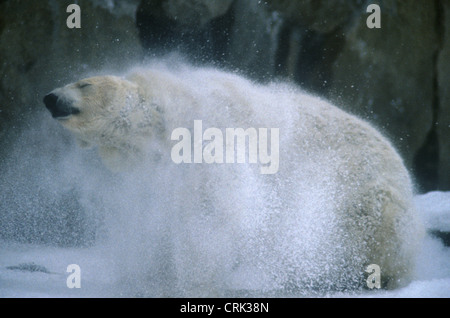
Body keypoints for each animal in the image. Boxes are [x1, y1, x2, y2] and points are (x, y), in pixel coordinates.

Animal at [44, 62, 424, 296]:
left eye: (84, 83)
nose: (49, 96)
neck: (162, 121)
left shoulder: (212, 148)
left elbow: (209, 218)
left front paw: (191, 280)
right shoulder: (158, 172)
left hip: (365, 199)